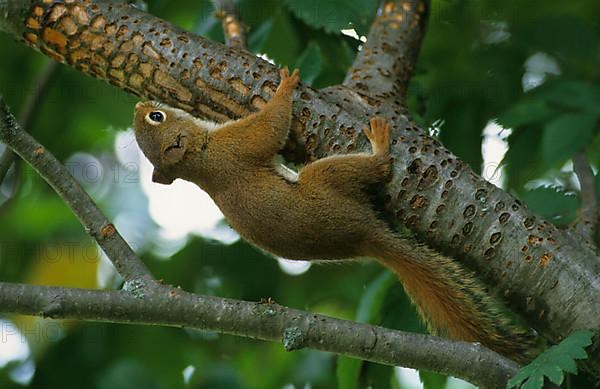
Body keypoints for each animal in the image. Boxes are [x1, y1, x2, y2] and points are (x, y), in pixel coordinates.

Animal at [134, 66, 540, 360]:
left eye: (154, 116)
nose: (139, 105)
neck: (199, 158)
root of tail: (365, 233)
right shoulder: (238, 145)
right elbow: (270, 127)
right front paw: (284, 87)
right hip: (324, 177)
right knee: (371, 168)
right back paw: (380, 146)